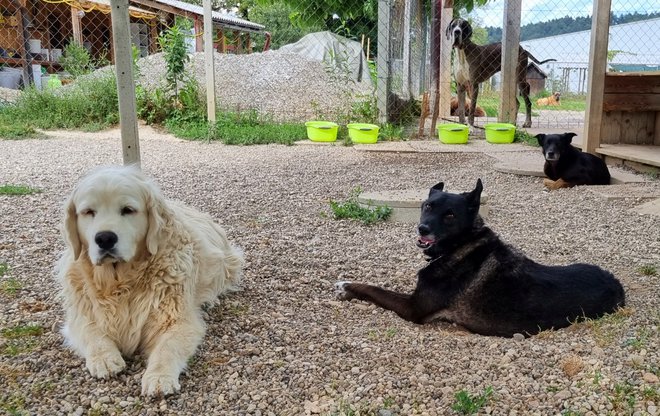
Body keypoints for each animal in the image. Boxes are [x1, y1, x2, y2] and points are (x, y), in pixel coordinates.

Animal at [336, 179, 624, 338]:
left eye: (450, 215)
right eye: (428, 206)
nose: (422, 229)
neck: (461, 246)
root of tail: (618, 287)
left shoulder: (413, 308)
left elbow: (374, 289)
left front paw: (346, 286)